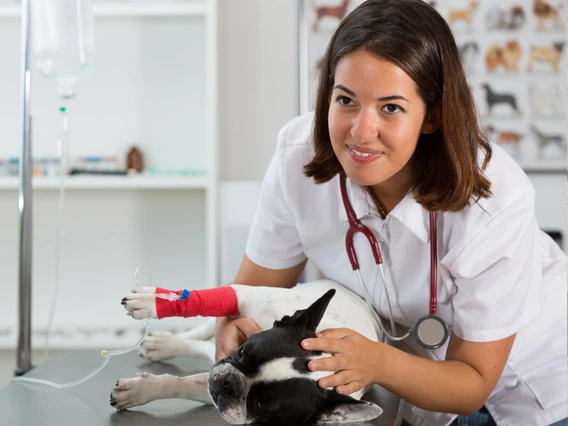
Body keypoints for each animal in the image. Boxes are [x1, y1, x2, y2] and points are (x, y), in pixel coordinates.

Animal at [110, 282, 386, 424]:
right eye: (243, 352)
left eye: (263, 404)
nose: (229, 384)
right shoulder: (247, 295)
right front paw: (151, 301)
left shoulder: (219, 396)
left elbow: (183, 385)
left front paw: (139, 391)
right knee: (204, 333)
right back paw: (162, 341)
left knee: (207, 349)